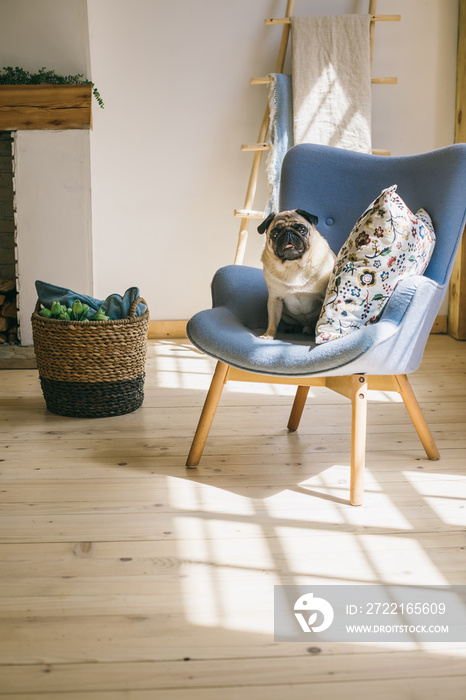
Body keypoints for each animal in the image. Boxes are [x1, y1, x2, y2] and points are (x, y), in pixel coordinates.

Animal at [258, 208, 334, 340]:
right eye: (274, 233)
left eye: (302, 229)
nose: (288, 233)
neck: (293, 265)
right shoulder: (275, 299)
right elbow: (273, 321)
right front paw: (268, 335)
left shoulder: (323, 297)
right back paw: (293, 327)